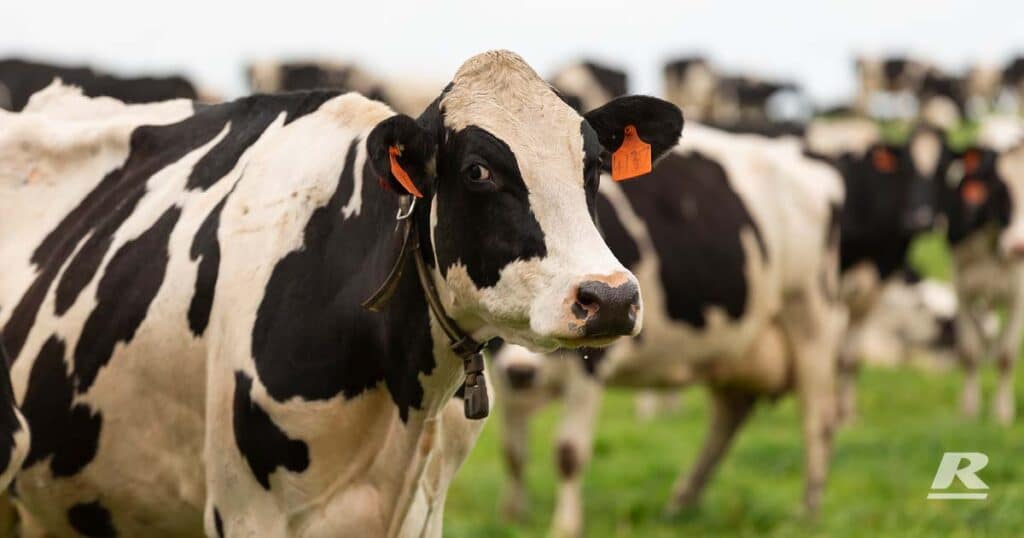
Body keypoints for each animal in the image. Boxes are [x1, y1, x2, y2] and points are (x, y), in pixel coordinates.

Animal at [491, 122, 843, 536]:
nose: (521, 372)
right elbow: (513, 452)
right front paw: (513, 517)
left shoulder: (592, 361)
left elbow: (569, 452)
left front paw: (564, 527)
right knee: (730, 415)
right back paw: (682, 502)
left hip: (812, 320)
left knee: (818, 419)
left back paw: (808, 512)